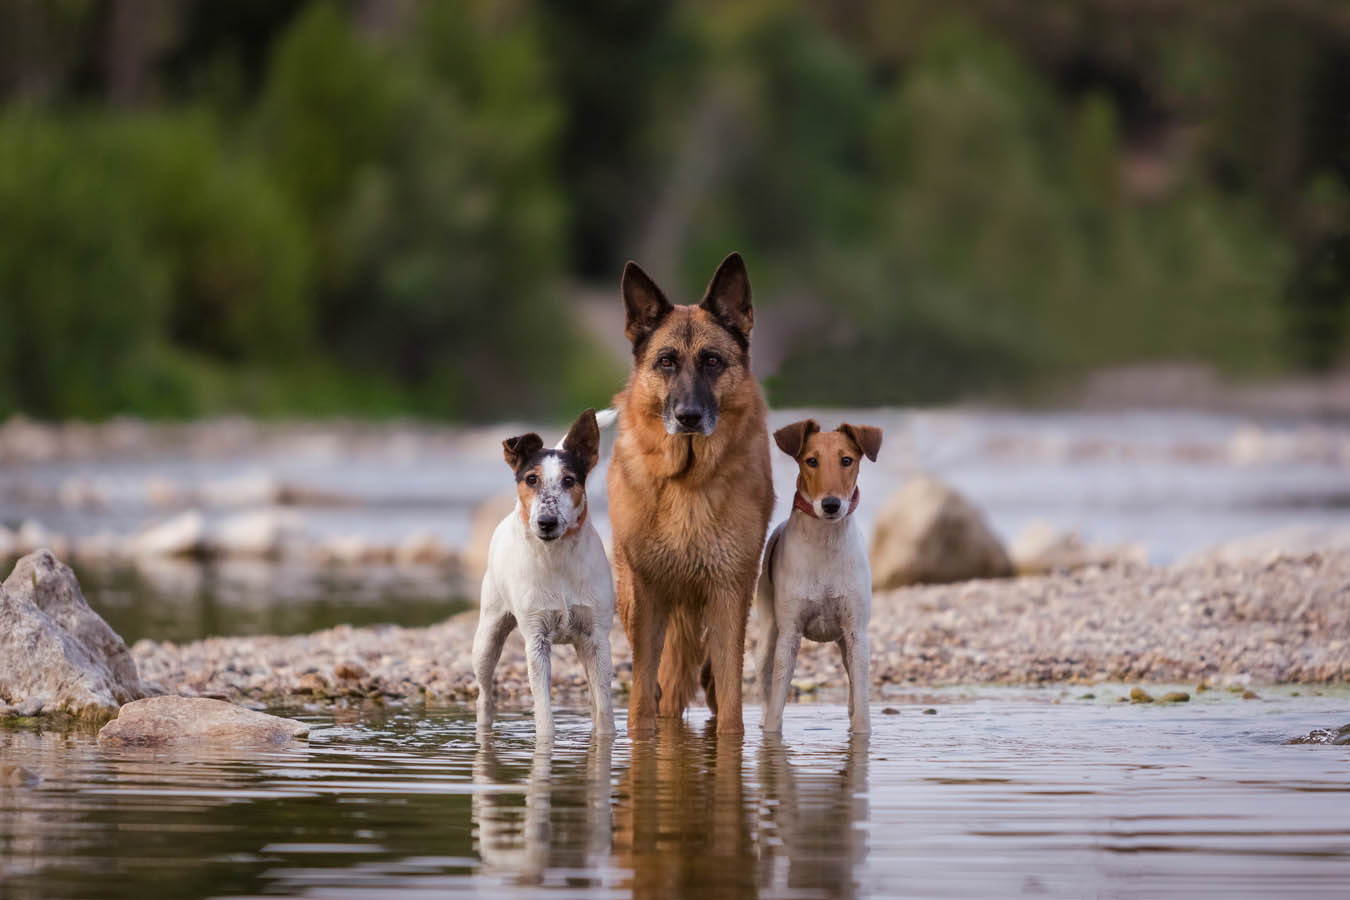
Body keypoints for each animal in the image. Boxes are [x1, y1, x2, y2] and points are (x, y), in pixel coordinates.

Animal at [610, 252, 772, 734]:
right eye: (666, 361)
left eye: (712, 361)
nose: (688, 417)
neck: (686, 480)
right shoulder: (647, 597)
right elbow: (642, 699)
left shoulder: (729, 593)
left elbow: (732, 702)